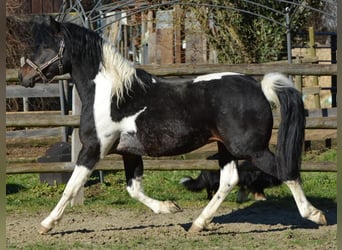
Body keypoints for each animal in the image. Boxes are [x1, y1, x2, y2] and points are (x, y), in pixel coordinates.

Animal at [18, 16, 326, 234]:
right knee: (229, 181)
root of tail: (258, 86)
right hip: (226, 148)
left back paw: (315, 215)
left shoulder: (93, 149)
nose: (24, 77)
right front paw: (169, 208)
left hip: (251, 149)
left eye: (46, 47)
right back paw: (198, 224)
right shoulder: (129, 153)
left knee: (285, 171)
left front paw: (46, 225)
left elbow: (70, 188)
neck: (113, 94)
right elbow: (133, 189)